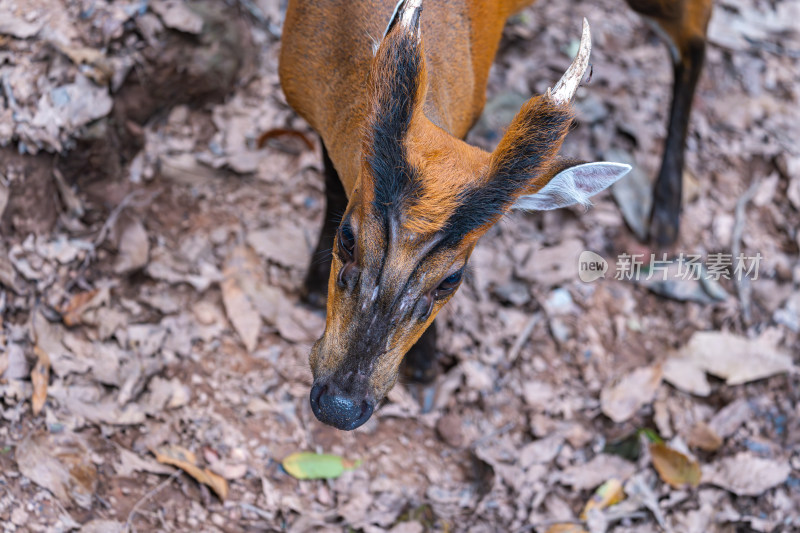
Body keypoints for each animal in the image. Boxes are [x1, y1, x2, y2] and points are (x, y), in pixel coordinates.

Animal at [280, 0, 712, 428]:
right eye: (347, 239)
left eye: (451, 280)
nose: (341, 406)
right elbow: (332, 185)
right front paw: (311, 287)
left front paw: (426, 369)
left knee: (695, 34)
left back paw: (666, 217)